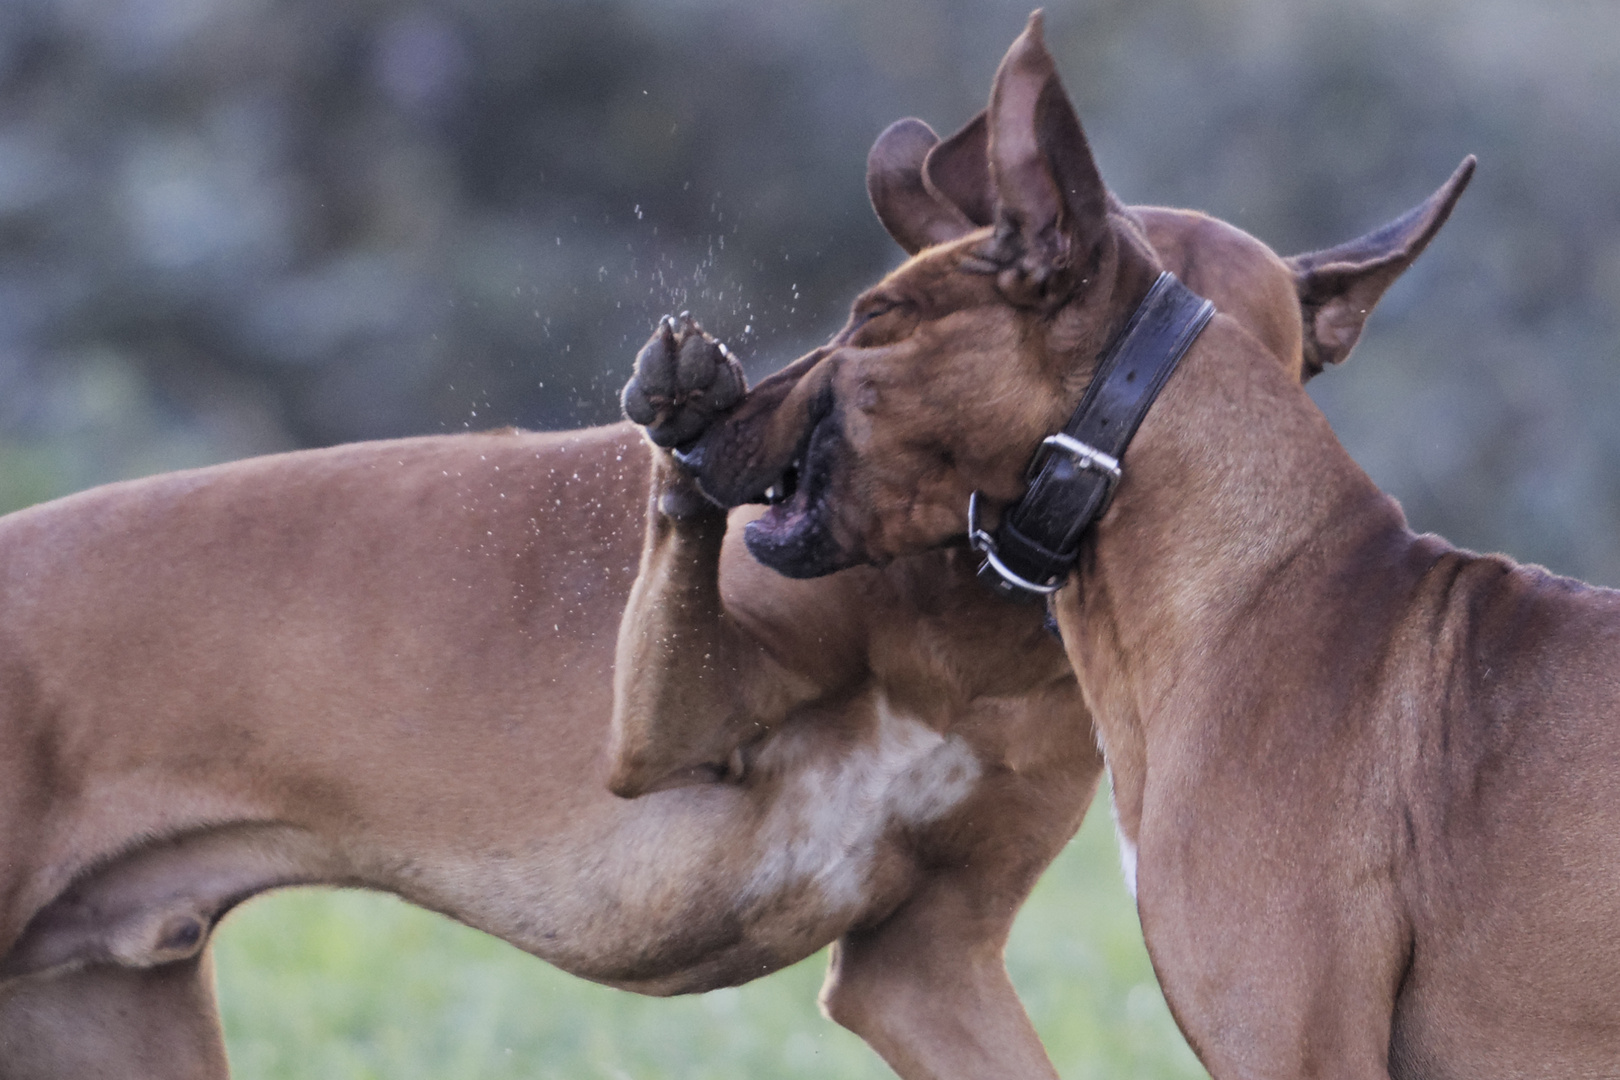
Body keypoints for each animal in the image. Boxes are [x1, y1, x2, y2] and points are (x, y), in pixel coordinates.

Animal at [3, 27, 1458, 1080]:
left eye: (1269, 364)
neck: (970, 620)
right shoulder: (672, 731)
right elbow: (686, 524)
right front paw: (694, 412)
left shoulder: (924, 967)